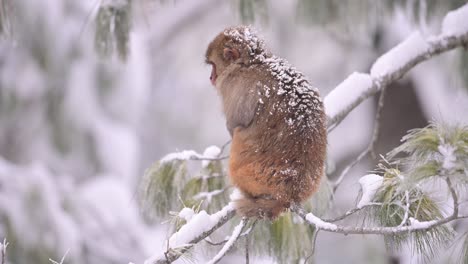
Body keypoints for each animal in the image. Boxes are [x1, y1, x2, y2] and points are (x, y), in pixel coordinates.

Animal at [203, 25, 328, 220]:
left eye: (213, 66)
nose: (211, 78)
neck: (253, 62)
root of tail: (290, 192)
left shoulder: (235, 87)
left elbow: (235, 123)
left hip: (253, 176)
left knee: (238, 135)